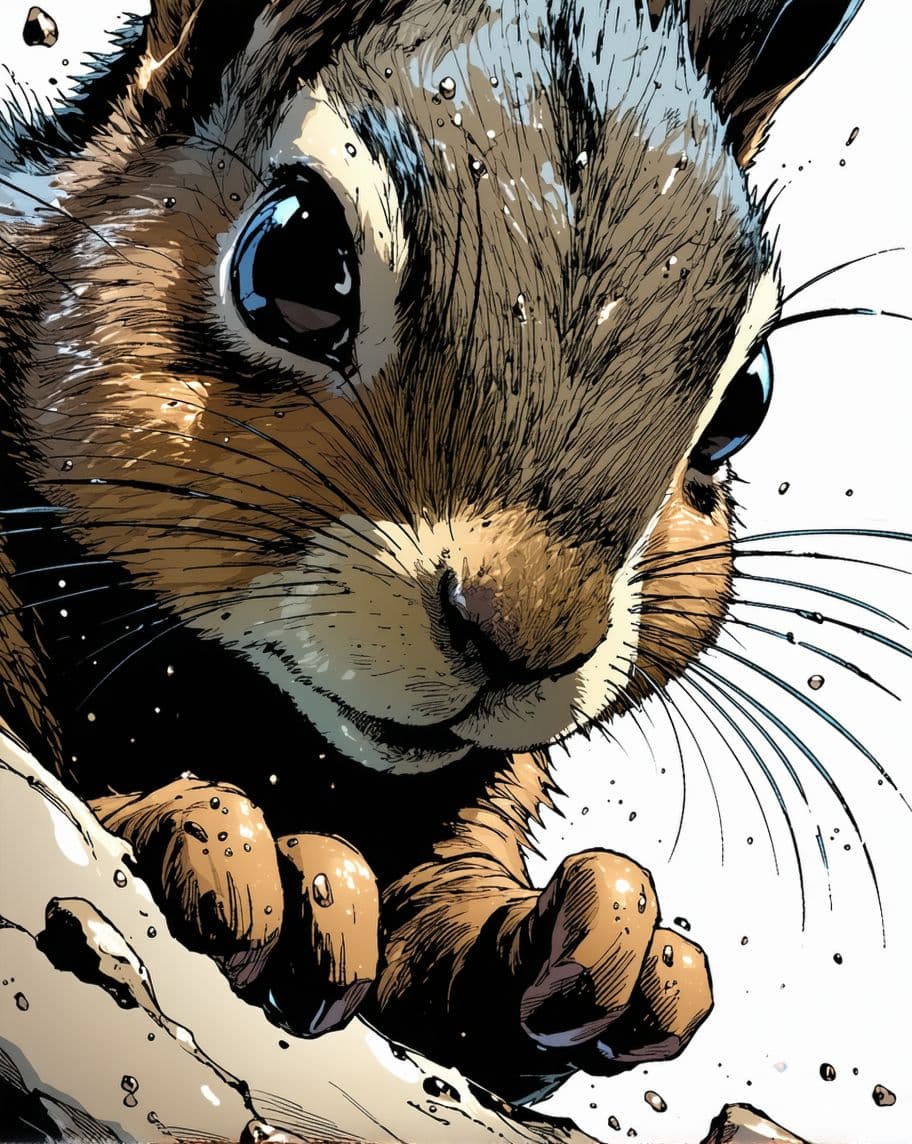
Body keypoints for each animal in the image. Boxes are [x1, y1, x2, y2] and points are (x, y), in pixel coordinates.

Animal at [0, 0, 862, 1107]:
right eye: (291, 265)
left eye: (747, 401)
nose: (527, 634)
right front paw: (257, 862)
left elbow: (450, 941)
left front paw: (598, 940)